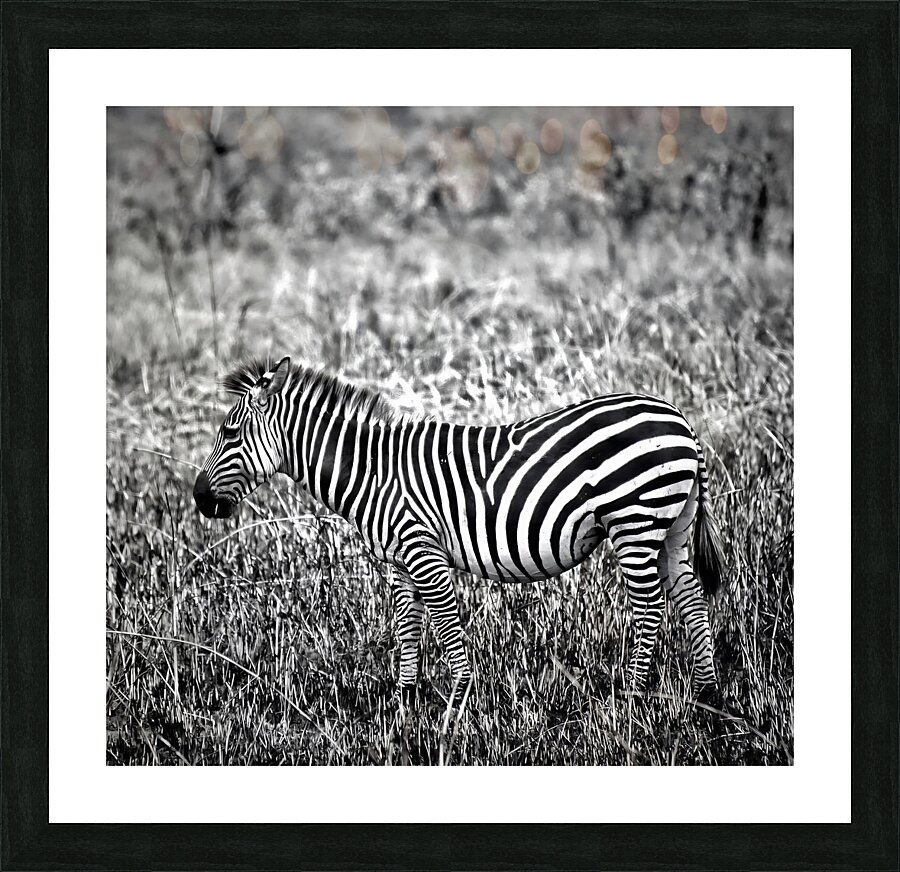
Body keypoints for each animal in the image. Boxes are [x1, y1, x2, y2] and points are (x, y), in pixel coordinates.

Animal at [194, 356, 725, 707]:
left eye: (230, 434)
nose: (198, 498)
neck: (372, 471)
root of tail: (680, 420)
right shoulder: (398, 560)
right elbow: (408, 627)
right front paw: (405, 699)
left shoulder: (422, 549)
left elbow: (446, 625)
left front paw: (459, 703)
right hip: (673, 527)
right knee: (691, 601)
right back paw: (705, 694)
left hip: (635, 520)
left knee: (649, 610)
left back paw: (633, 698)